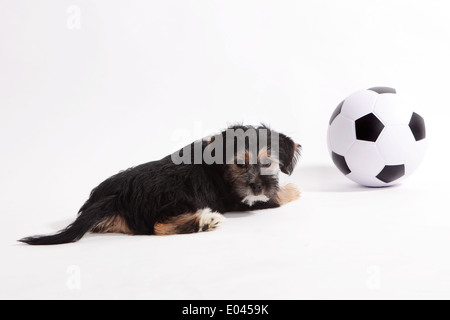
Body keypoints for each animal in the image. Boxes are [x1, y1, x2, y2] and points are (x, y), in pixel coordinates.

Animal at [20, 125, 302, 245]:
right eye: (240, 164)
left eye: (267, 162)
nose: (256, 186)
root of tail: (116, 197)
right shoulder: (240, 198)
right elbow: (276, 196)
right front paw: (294, 189)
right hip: (175, 197)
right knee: (158, 226)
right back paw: (205, 221)